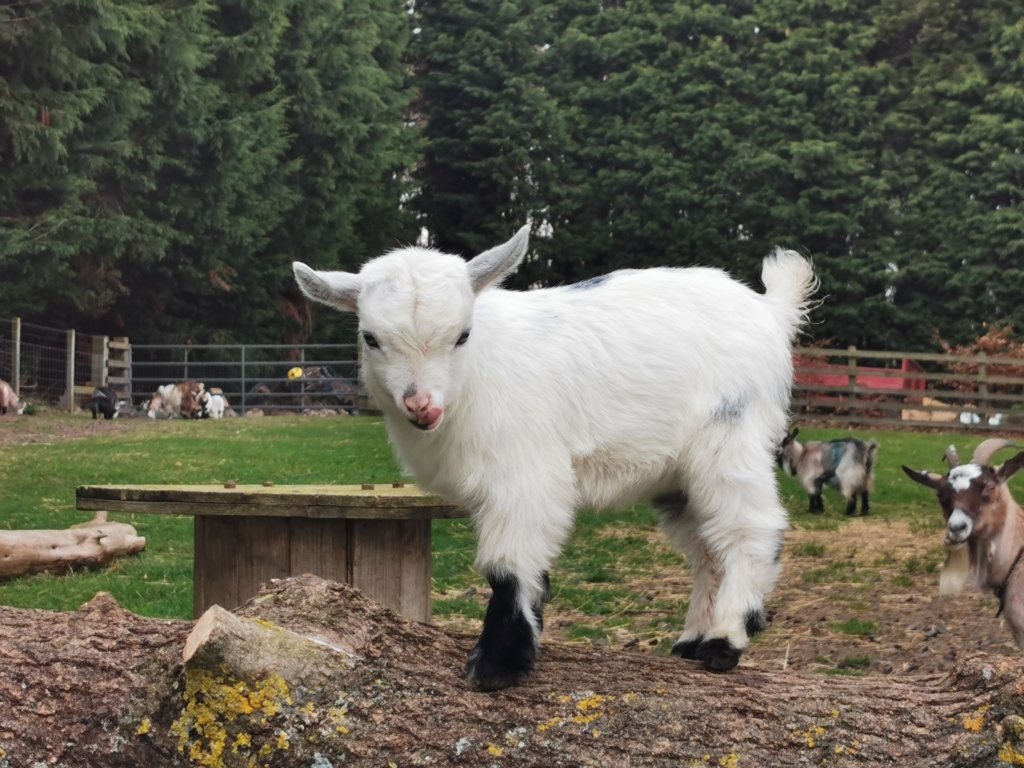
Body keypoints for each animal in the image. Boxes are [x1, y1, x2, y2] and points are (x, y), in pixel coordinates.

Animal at [294, 226, 816, 689]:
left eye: (462, 335)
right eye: (370, 338)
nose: (422, 406)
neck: (476, 377)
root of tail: (770, 311)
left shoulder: (526, 475)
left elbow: (508, 565)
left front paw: (498, 665)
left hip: (730, 435)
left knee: (750, 527)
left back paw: (725, 641)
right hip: (677, 475)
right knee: (708, 548)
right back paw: (692, 639)